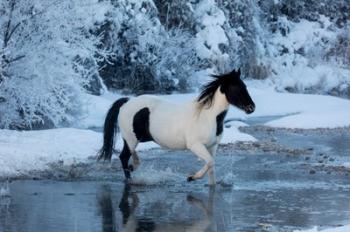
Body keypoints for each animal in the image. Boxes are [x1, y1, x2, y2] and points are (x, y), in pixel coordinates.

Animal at [98, 69, 254, 185]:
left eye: (245, 86)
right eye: (236, 87)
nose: (251, 107)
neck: (207, 117)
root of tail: (127, 102)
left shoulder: (212, 146)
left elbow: (211, 167)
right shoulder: (195, 145)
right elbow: (210, 162)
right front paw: (191, 177)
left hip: (136, 139)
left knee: (130, 155)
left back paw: (133, 166)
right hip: (132, 139)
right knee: (124, 156)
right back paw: (130, 178)